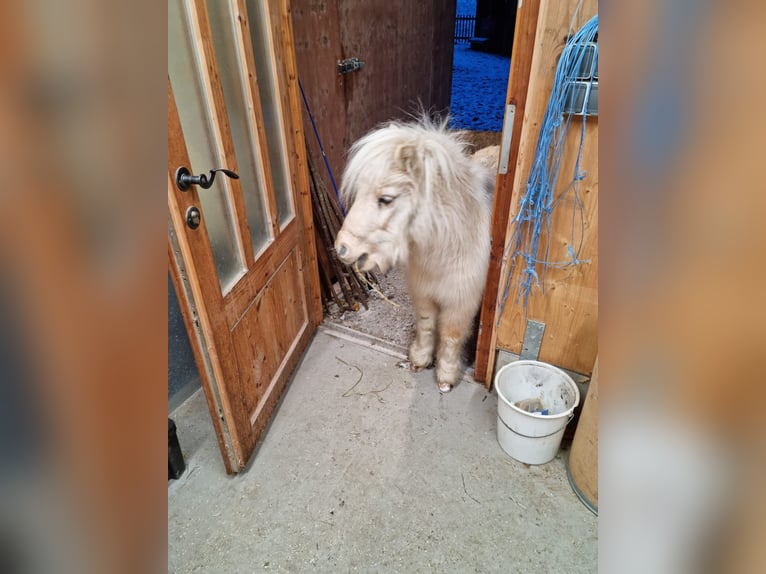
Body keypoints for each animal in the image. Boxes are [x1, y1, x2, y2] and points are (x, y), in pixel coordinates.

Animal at [338, 118, 496, 394]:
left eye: (386, 199)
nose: (342, 248)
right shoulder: (424, 294)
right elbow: (426, 325)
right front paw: (420, 360)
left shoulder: (460, 303)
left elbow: (451, 336)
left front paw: (446, 376)